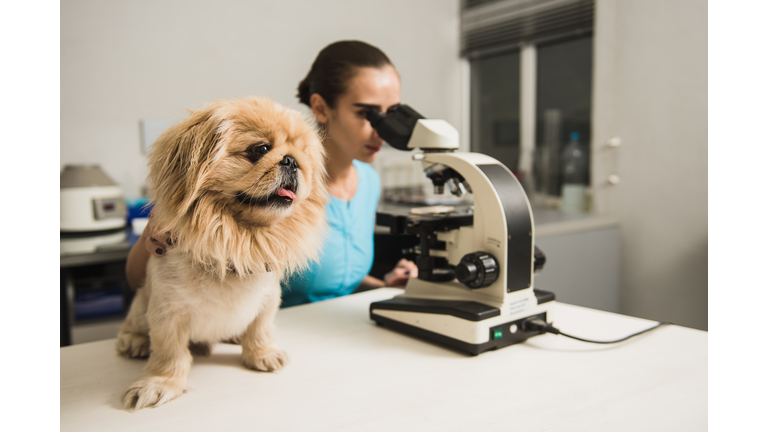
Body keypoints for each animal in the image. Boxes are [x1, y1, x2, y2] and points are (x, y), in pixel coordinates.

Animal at [116, 96, 328, 410]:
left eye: (303, 156)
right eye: (260, 149)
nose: (291, 161)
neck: (237, 238)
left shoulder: (267, 301)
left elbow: (260, 330)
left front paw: (262, 355)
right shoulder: (167, 312)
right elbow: (169, 353)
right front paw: (159, 384)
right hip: (141, 305)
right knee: (134, 326)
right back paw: (135, 342)